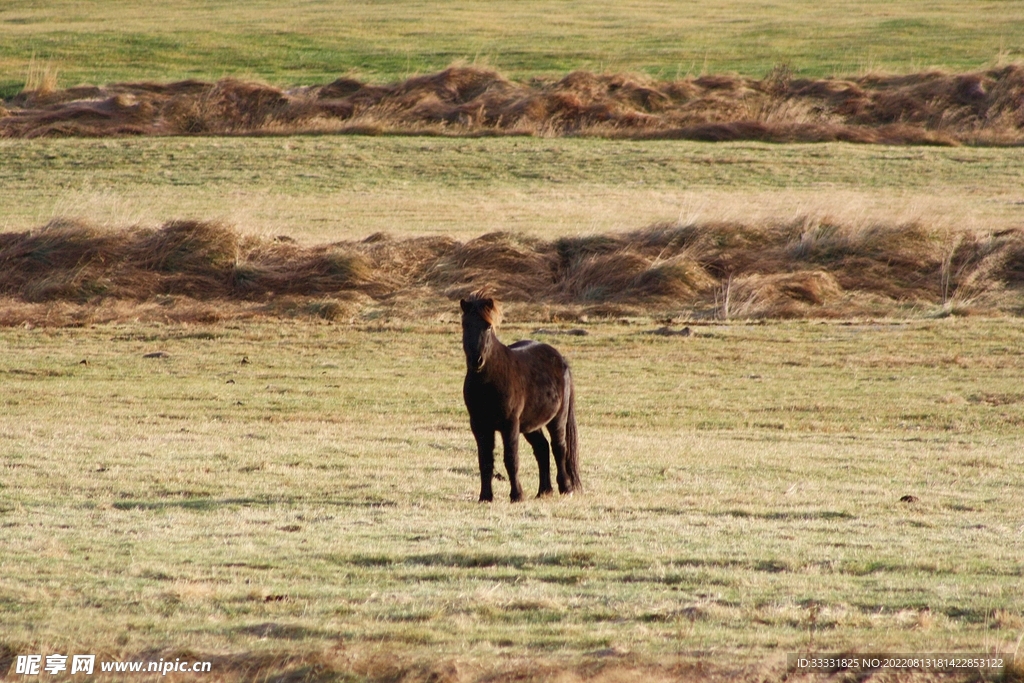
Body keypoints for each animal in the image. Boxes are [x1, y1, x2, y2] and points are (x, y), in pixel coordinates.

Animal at [460, 294, 582, 502]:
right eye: (465, 325)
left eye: (488, 326)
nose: (476, 360)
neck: (489, 379)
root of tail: (561, 359)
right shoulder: (479, 425)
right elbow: (485, 460)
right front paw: (485, 496)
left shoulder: (510, 424)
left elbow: (511, 459)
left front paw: (517, 495)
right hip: (531, 424)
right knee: (542, 448)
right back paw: (544, 491)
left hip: (557, 418)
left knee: (559, 448)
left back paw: (566, 488)